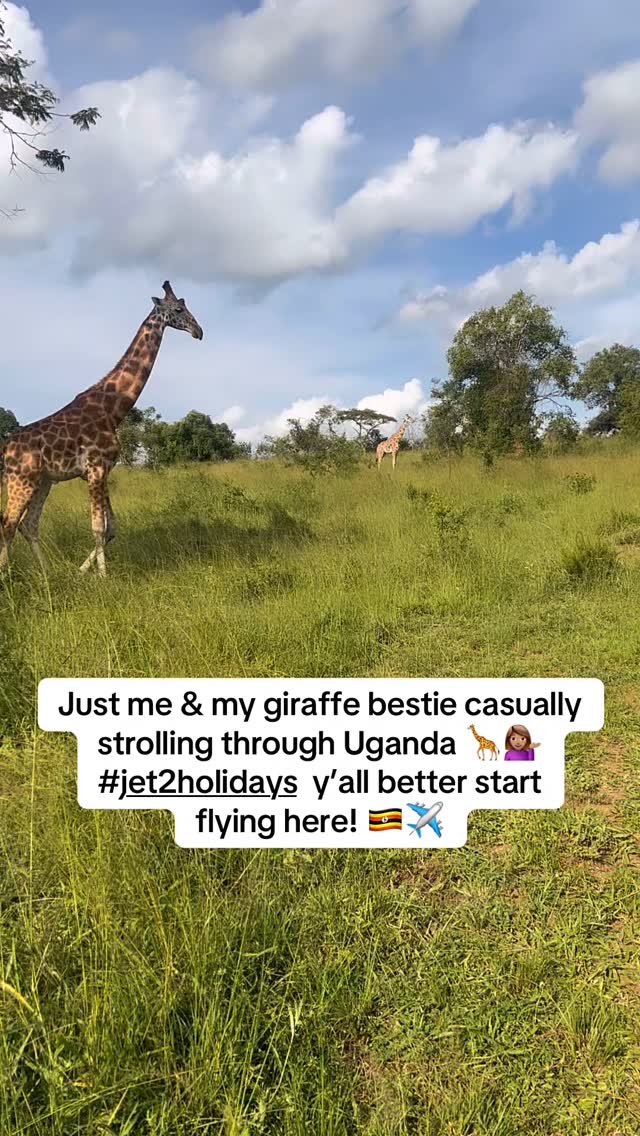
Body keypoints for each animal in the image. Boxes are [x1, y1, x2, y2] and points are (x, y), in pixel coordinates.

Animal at [0, 281, 203, 578]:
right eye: (178, 309)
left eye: (186, 304)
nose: (199, 331)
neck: (112, 409)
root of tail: (6, 449)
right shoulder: (95, 468)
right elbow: (98, 527)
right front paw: (103, 577)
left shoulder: (103, 469)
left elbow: (111, 528)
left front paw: (81, 571)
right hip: (21, 480)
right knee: (8, 524)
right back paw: (7, 576)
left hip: (43, 481)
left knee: (28, 524)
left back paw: (48, 574)